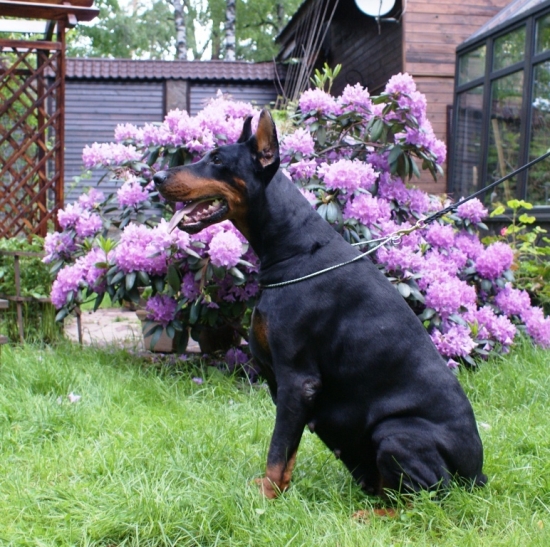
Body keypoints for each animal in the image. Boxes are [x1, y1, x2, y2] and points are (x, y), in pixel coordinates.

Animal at [153, 109, 487, 499]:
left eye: (218, 160)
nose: (157, 177)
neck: (294, 248)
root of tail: (477, 475)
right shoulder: (281, 384)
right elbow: (287, 450)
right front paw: (276, 489)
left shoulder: (298, 379)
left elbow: (278, 447)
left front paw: (266, 497)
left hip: (397, 434)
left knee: (427, 495)